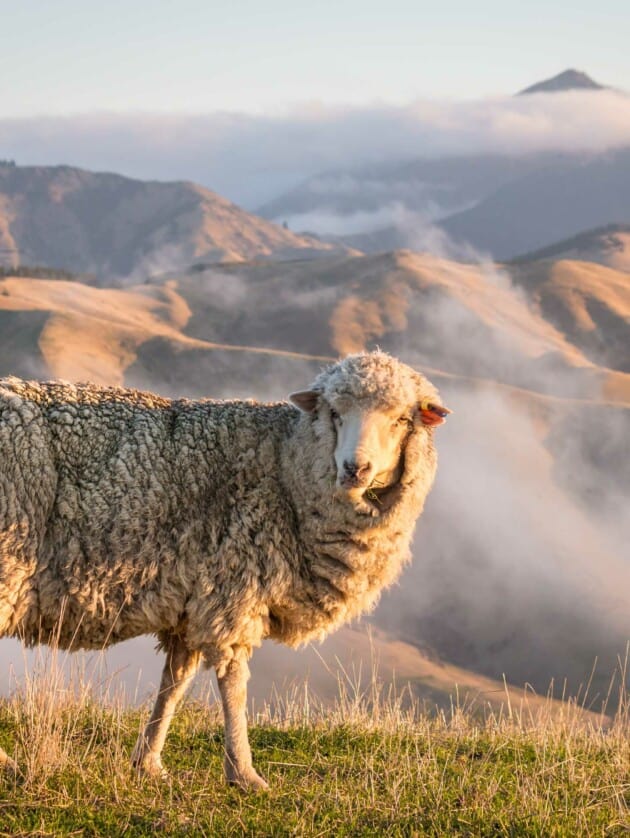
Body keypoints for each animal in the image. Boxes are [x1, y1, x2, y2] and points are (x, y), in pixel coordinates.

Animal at [0, 350, 450, 788]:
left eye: (402, 420)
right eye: (335, 413)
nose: (356, 469)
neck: (285, 464)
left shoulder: (193, 596)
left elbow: (175, 682)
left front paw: (149, 762)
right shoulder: (234, 585)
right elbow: (233, 682)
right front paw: (244, 773)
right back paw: (7, 763)